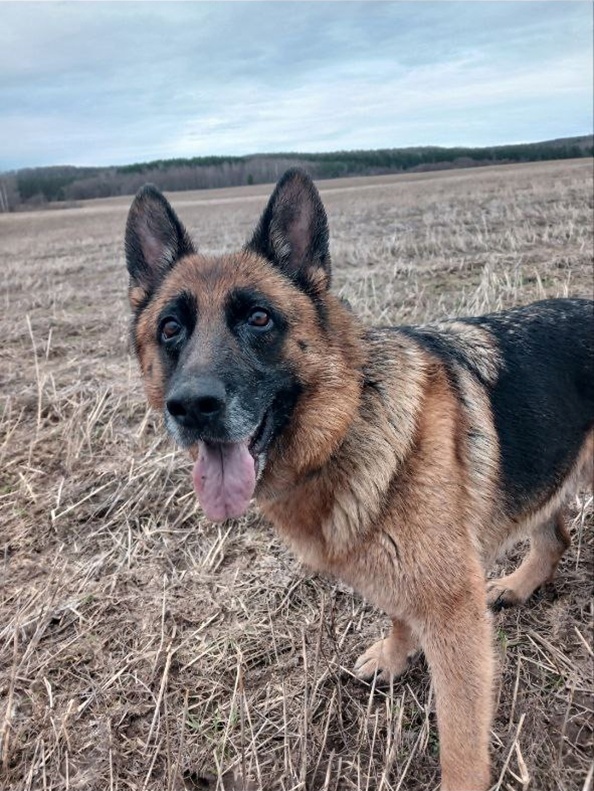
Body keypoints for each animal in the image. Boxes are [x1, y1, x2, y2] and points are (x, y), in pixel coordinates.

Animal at [125, 172, 592, 791]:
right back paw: (518, 585)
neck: (349, 419)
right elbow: (398, 613)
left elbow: (461, 740)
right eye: (171, 329)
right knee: (554, 536)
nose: (192, 407)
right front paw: (394, 657)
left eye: (259, 319)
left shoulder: (456, 618)